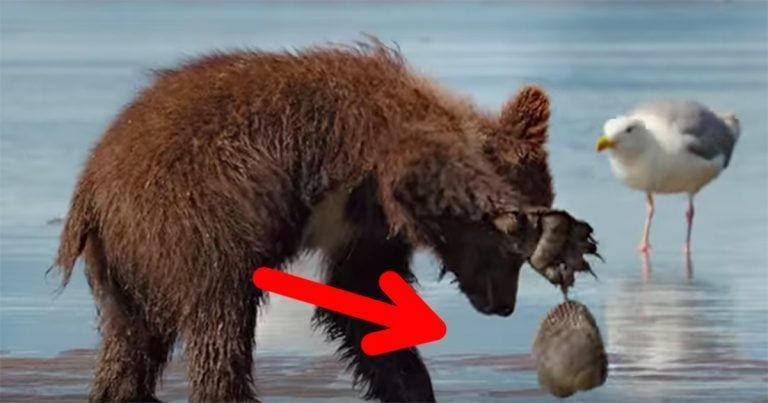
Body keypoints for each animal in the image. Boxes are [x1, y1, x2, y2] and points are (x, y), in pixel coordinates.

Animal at [53, 39, 597, 402]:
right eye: (508, 256)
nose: (503, 305)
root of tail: (91, 189)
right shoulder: (381, 138)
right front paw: (552, 235)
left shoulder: (365, 227)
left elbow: (363, 299)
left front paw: (409, 385)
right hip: (192, 221)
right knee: (219, 323)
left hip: (125, 269)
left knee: (130, 347)